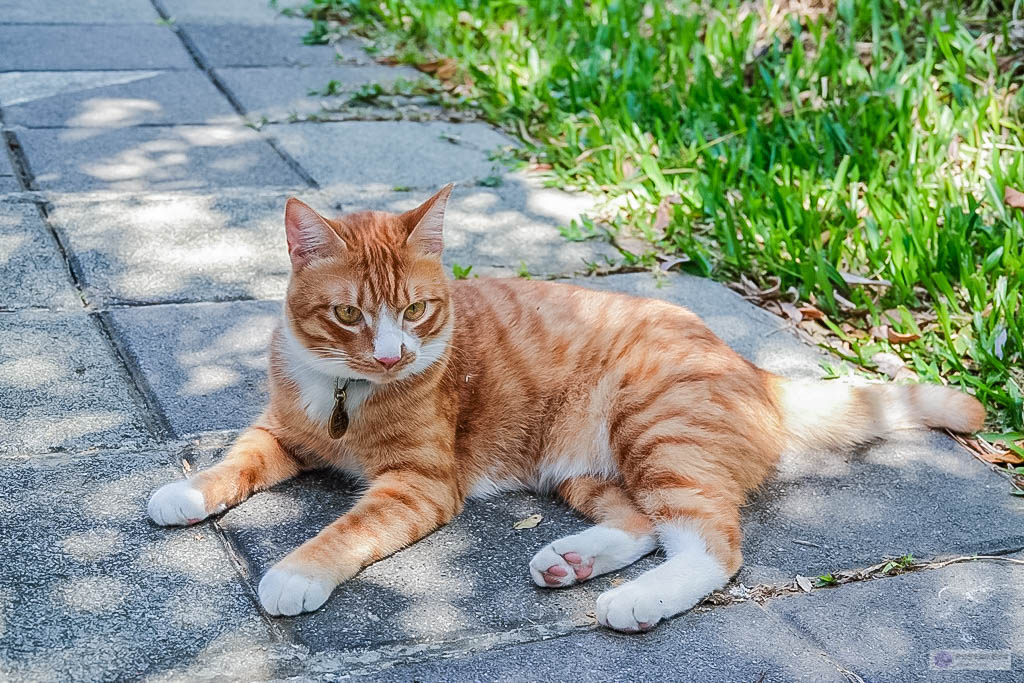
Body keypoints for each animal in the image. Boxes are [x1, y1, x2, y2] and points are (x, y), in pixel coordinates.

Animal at [146, 184, 983, 634]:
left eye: (416, 310)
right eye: (350, 315)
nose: (390, 356)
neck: (345, 396)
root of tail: (753, 365)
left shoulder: (418, 484)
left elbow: (343, 531)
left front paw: (295, 573)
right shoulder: (280, 431)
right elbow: (234, 461)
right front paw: (185, 492)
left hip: (656, 431)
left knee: (712, 544)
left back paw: (637, 599)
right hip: (589, 468)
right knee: (645, 524)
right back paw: (573, 560)